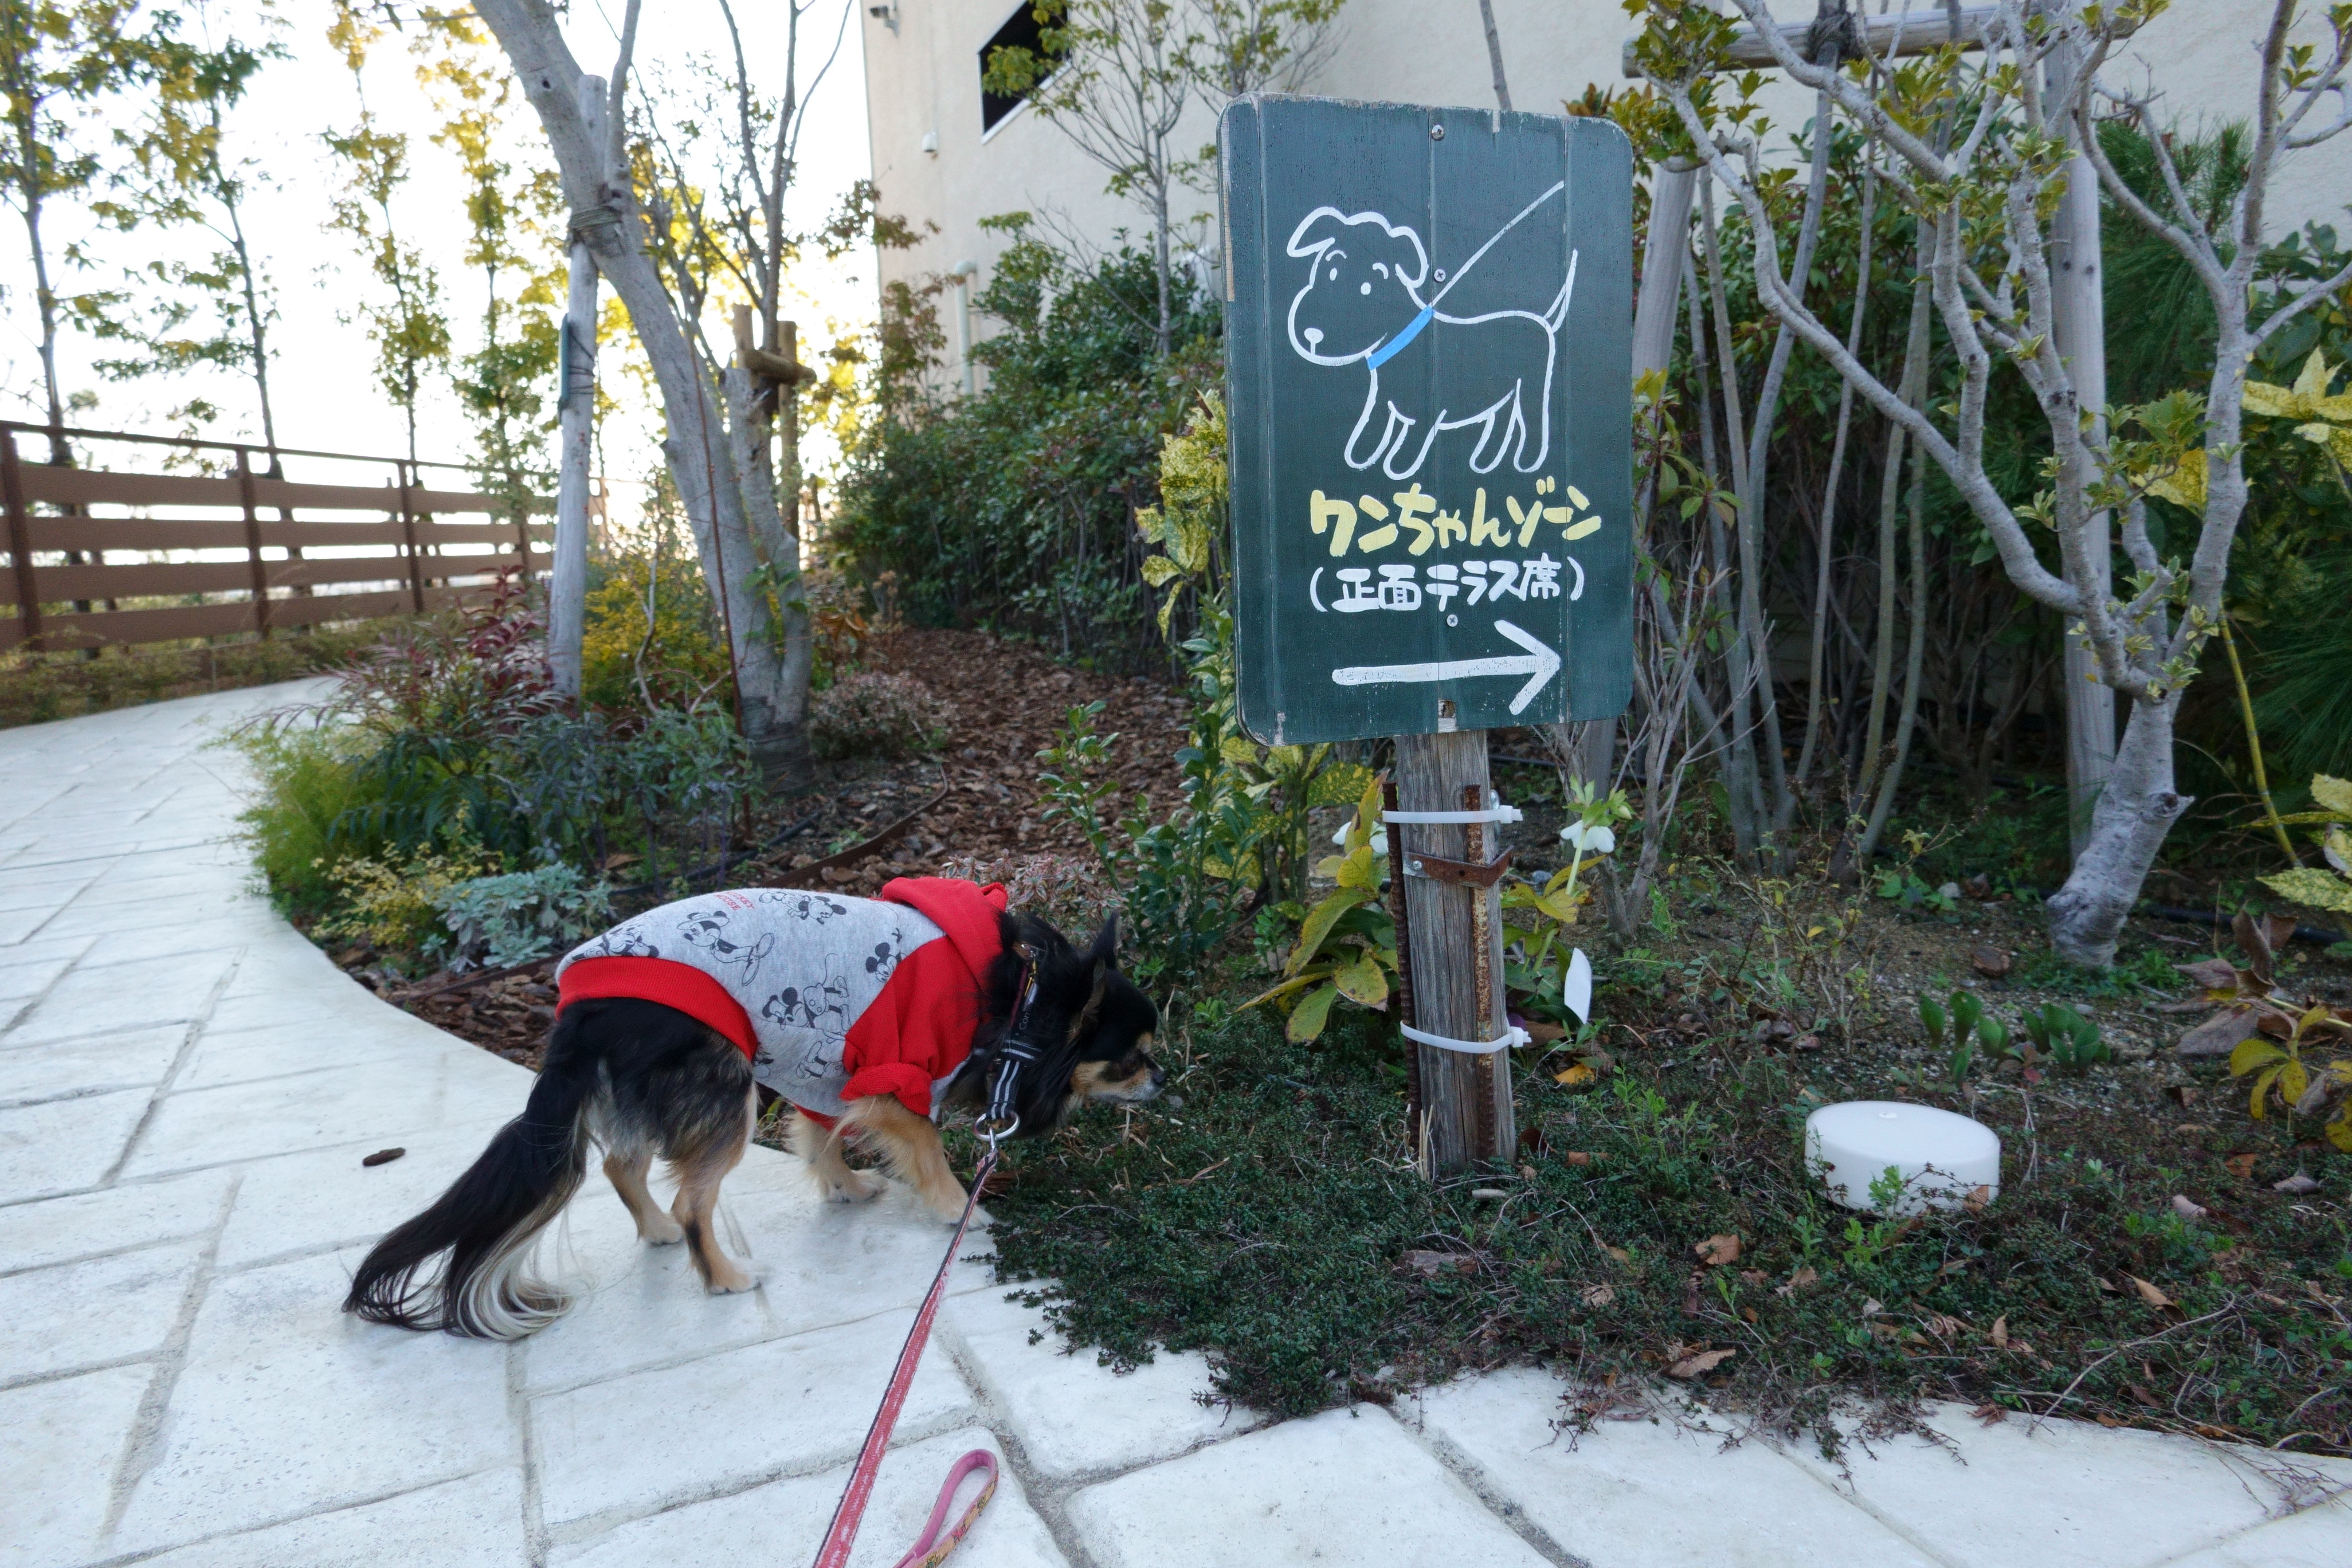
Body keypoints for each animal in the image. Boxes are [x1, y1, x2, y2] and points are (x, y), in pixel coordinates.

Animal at [338, 888, 1157, 1344]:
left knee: (623, 1165)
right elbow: (924, 1147)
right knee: (691, 1197)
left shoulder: (824, 1067)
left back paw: (659, 1234)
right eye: (1129, 1059)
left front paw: (846, 1190)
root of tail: (582, 1009)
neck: (1022, 997)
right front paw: (961, 1210)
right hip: (728, 1090)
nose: (1164, 1079)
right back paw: (724, 1276)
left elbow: (821, 1137)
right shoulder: (892, 1079)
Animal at [1288, 187, 1580, 479]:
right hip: (1502, 395)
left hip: (1531, 388)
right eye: (1329, 271)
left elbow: (1410, 443)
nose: (1313, 335)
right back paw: (1484, 462)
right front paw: (1362, 456)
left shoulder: (1424, 414)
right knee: (1501, 421)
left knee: (1532, 421)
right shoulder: (1382, 404)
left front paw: (1398, 466)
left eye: (1367, 288)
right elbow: (1373, 429)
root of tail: (1543, 322)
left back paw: (1526, 462)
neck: (1398, 341)